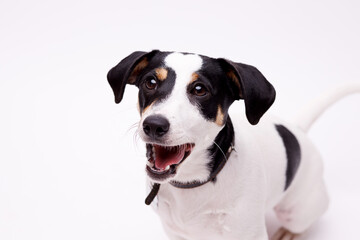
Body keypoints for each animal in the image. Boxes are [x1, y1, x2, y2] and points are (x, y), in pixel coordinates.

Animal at [107, 49, 360, 239]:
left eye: (200, 90)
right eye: (150, 82)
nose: (154, 125)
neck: (195, 183)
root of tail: (296, 128)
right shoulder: (175, 232)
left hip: (299, 209)